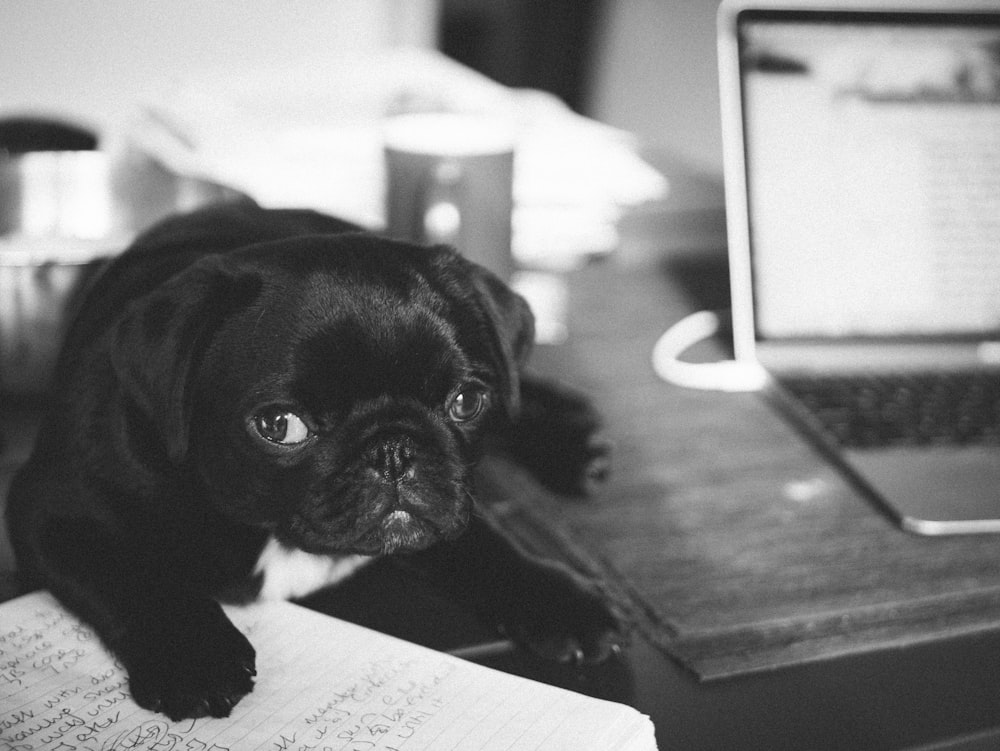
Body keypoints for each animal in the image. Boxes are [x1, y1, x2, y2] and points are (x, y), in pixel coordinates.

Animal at [7, 203, 620, 720]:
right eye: (281, 426)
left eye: (467, 402)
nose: (394, 449)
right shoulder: (54, 507)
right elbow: (137, 575)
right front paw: (194, 654)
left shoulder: (454, 502)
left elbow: (487, 542)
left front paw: (558, 597)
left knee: (528, 393)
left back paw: (572, 439)